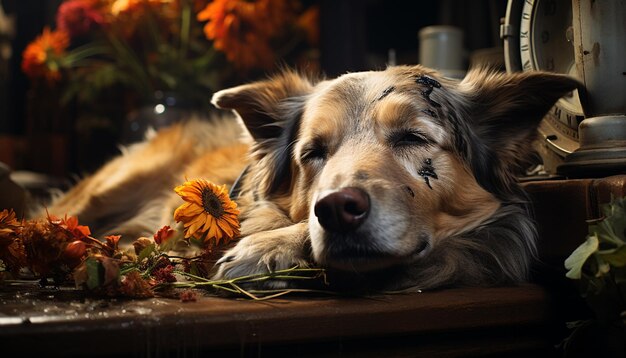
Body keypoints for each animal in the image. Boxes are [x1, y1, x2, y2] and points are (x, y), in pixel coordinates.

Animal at [46, 65, 576, 290]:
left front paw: (269, 246)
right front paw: (267, 244)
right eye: (313, 153)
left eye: (412, 137)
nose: (337, 209)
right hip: (101, 191)